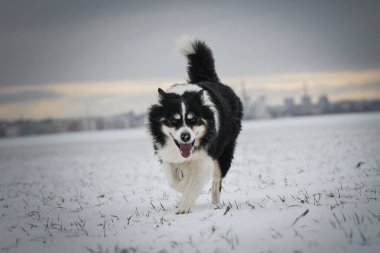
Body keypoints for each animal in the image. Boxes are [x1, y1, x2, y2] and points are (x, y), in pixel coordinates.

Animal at [147, 35, 242, 213]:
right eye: (174, 120)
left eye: (194, 119)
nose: (185, 136)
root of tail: (209, 79)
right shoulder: (166, 154)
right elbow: (174, 180)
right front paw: (182, 183)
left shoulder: (205, 158)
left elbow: (193, 183)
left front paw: (183, 209)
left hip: (225, 151)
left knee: (217, 180)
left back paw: (216, 203)